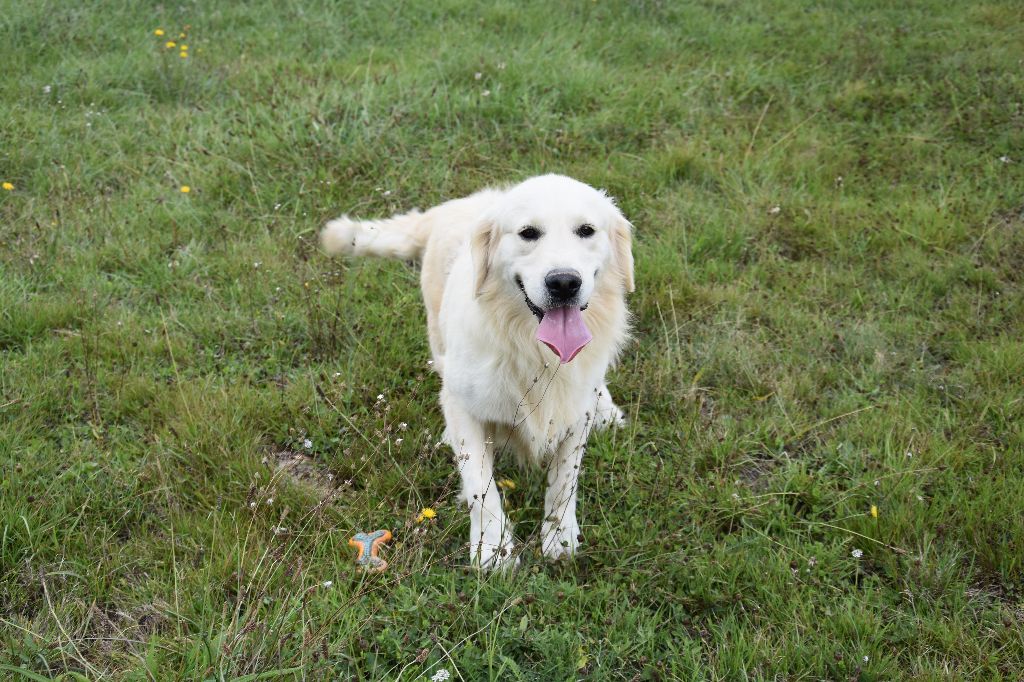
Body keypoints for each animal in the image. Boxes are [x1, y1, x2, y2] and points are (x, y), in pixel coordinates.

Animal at [323, 174, 634, 569]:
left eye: (586, 230)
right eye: (528, 233)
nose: (564, 282)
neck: (532, 350)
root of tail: (449, 208)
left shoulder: (575, 414)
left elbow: (565, 478)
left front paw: (559, 537)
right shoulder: (465, 405)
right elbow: (479, 485)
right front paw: (493, 549)